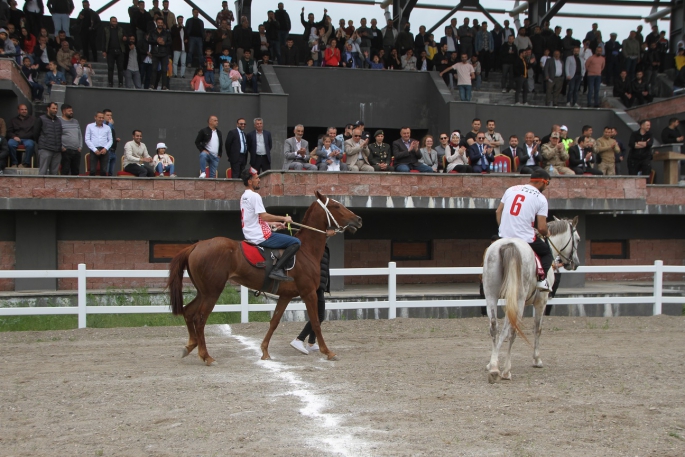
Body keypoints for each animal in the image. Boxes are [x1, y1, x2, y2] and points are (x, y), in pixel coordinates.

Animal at [166, 191, 360, 366]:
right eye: (336, 206)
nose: (358, 219)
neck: (305, 251)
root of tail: (196, 246)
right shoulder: (309, 293)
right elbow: (316, 322)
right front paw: (328, 352)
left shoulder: (286, 296)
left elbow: (274, 322)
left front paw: (265, 351)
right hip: (212, 292)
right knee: (199, 319)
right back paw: (206, 356)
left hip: (203, 292)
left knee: (189, 312)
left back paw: (190, 346)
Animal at [480, 216, 576, 382]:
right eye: (577, 239)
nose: (574, 263)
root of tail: (509, 244)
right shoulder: (541, 302)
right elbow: (537, 328)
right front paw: (537, 359)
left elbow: (503, 330)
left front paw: (492, 363)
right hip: (519, 299)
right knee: (513, 330)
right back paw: (506, 371)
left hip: (491, 295)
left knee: (494, 327)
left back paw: (495, 370)